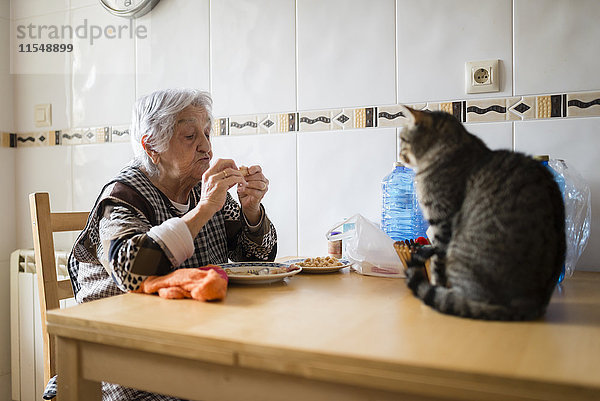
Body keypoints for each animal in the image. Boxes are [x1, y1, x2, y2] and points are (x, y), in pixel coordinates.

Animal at [398, 105, 564, 318]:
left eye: (402, 139)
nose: (399, 155)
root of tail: (532, 305)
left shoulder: (442, 221)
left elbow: (437, 264)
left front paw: (436, 286)